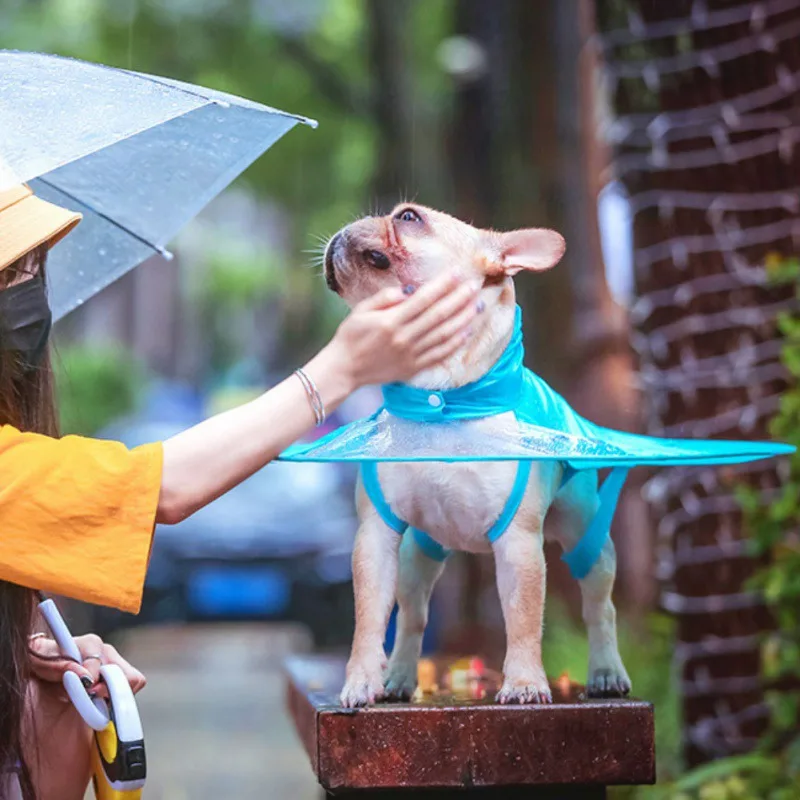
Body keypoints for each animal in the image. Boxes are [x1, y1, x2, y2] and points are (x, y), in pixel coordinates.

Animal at [320, 205, 632, 708]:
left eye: (408, 217)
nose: (357, 222)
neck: (442, 399)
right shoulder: (376, 536)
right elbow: (369, 617)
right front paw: (361, 680)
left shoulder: (519, 543)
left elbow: (523, 618)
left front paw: (524, 683)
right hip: (417, 556)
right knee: (413, 616)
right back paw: (400, 678)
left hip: (588, 536)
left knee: (599, 605)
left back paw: (606, 671)